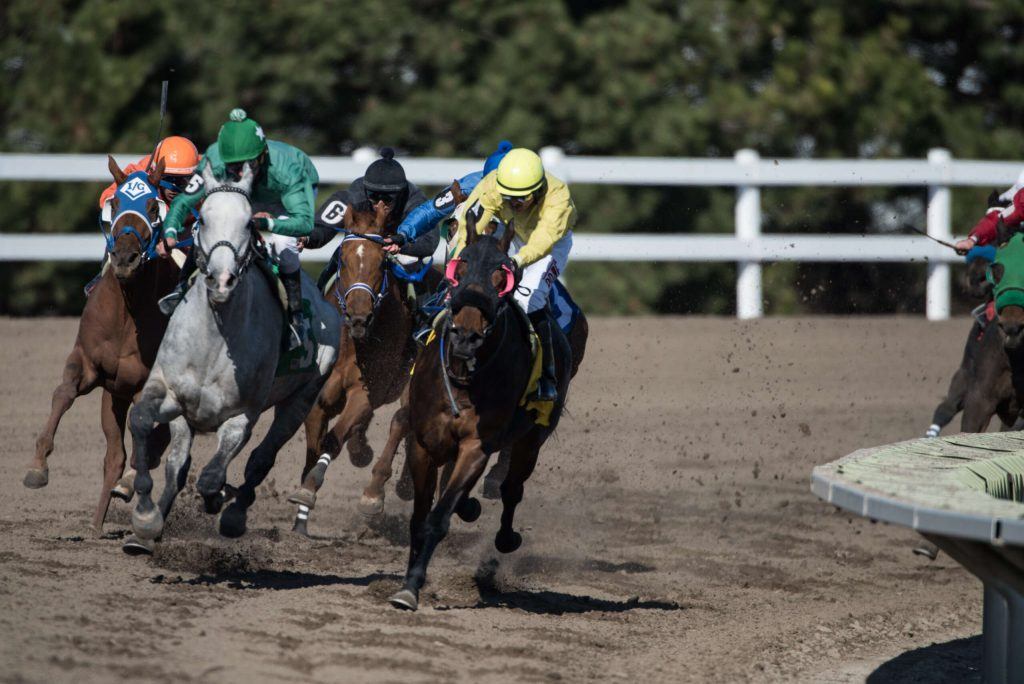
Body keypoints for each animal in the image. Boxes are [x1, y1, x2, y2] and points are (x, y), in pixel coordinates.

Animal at [22, 157, 178, 532]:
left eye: (153, 206)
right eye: (117, 203)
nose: (124, 258)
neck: (126, 313)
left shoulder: (144, 384)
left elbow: (145, 436)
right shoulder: (89, 364)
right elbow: (63, 393)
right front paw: (37, 467)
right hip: (113, 397)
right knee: (114, 457)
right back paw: (96, 524)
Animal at [124, 161, 339, 548]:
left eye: (247, 223)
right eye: (203, 219)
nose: (221, 281)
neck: (215, 338)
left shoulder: (242, 416)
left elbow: (213, 476)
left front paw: (220, 498)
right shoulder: (169, 392)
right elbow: (143, 423)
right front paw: (146, 517)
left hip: (301, 400)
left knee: (261, 459)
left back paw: (235, 513)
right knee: (177, 465)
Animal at [286, 200, 438, 532]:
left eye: (382, 262)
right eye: (342, 260)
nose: (358, 317)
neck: (353, 345)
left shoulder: (365, 392)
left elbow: (332, 440)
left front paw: (309, 489)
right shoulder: (321, 394)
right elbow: (316, 438)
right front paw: (302, 500)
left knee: (402, 423)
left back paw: (380, 492)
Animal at [387, 216, 577, 610]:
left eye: (500, 278)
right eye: (459, 271)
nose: (466, 336)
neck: (464, 377)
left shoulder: (476, 446)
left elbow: (438, 518)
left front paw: (412, 585)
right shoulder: (423, 443)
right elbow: (419, 517)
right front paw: (408, 581)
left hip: (531, 440)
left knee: (512, 489)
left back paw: (505, 536)